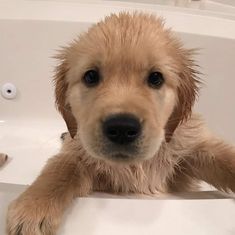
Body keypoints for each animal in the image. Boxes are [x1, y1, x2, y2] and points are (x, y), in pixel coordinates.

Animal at [5, 12, 235, 235]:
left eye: (156, 78)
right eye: (90, 76)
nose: (122, 128)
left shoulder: (191, 149)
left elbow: (224, 159)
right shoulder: (79, 154)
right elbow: (59, 171)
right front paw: (32, 208)